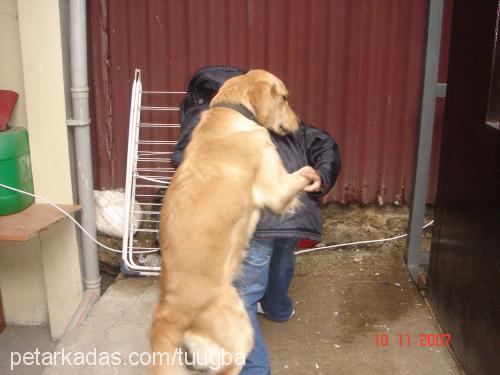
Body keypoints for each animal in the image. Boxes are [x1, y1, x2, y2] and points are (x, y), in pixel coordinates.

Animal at [150, 69, 314, 374]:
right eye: (285, 98)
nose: (299, 124)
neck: (231, 111)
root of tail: (169, 317)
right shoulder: (275, 188)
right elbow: (304, 174)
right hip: (240, 330)